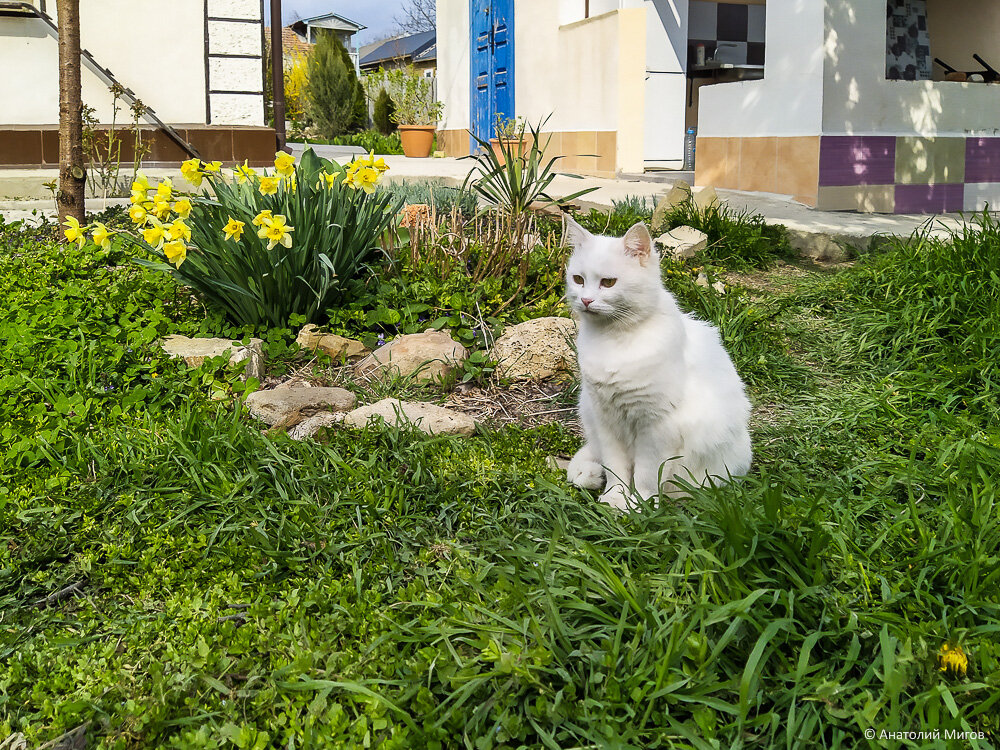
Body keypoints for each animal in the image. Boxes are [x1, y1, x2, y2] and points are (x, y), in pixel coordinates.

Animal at [564, 217, 752, 512]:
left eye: (608, 282)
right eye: (578, 279)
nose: (585, 300)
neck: (614, 339)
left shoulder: (655, 426)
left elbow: (646, 474)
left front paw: (639, 504)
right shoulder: (606, 419)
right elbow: (616, 468)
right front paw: (615, 499)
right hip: (589, 413)